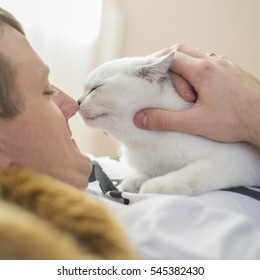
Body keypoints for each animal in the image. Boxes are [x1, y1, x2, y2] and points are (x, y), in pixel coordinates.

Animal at [78, 52, 260, 195]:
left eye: (95, 88)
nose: (78, 101)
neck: (143, 142)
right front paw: (136, 180)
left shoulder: (239, 158)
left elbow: (195, 172)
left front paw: (158, 184)